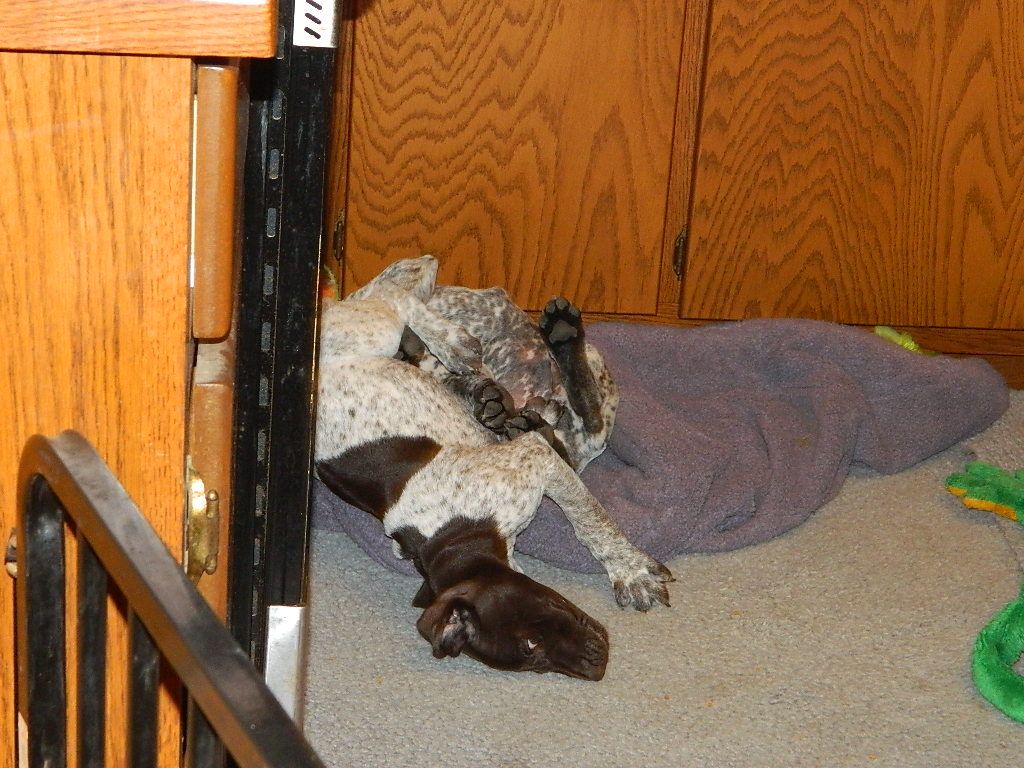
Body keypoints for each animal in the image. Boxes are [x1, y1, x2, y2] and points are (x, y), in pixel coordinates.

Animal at [314, 257, 672, 679]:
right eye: (531, 653)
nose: (597, 666)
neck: (453, 533)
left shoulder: (534, 460)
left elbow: (592, 523)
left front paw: (629, 570)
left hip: (372, 328)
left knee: (394, 295)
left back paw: (474, 342)